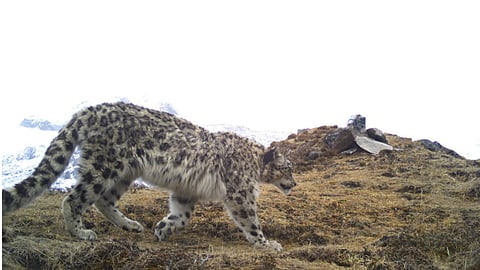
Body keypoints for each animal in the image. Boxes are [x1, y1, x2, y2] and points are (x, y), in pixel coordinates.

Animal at [2, 101, 296, 251]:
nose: (293, 183)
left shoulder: (185, 191)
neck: (254, 165)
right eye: (288, 168)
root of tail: (88, 110)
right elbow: (250, 220)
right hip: (104, 165)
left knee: (104, 200)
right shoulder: (241, 193)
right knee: (75, 198)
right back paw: (81, 232)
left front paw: (163, 228)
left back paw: (131, 225)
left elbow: (182, 216)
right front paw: (266, 243)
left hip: (124, 173)